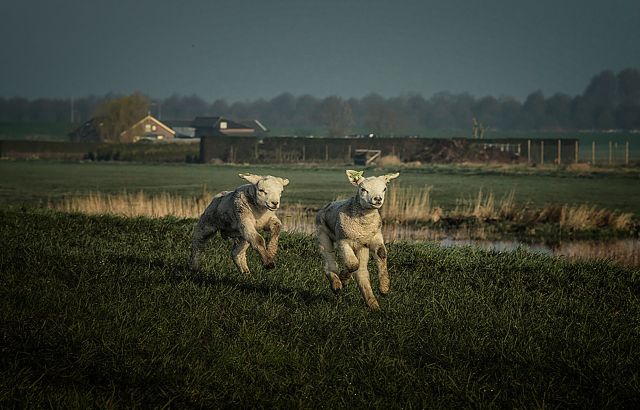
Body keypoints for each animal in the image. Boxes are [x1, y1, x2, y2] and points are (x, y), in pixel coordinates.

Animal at [316, 168, 400, 310]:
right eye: (363, 189)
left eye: (384, 189)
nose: (378, 199)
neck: (363, 225)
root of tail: (328, 204)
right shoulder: (343, 240)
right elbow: (352, 264)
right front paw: (344, 278)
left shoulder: (375, 237)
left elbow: (381, 254)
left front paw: (384, 288)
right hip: (322, 232)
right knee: (329, 258)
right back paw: (336, 283)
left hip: (362, 248)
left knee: (362, 272)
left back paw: (373, 304)